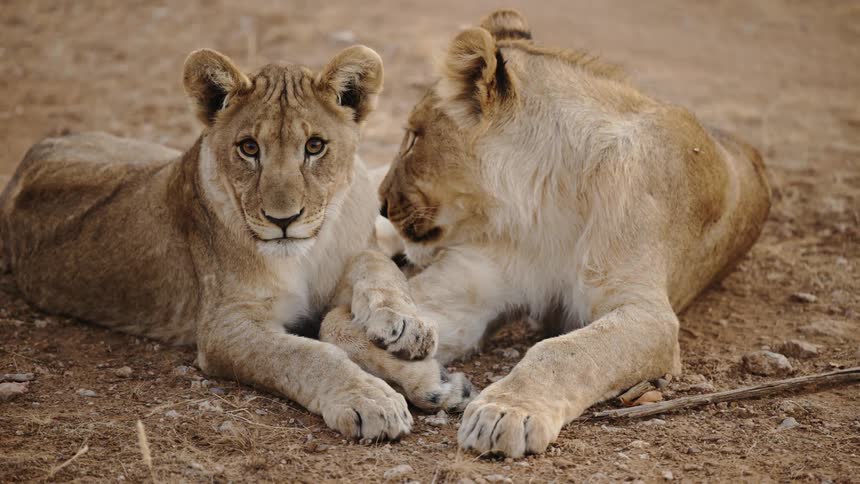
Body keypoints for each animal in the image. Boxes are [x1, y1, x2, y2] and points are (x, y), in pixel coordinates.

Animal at [0, 46, 473, 440]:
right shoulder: (224, 327)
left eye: (315, 146)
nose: (284, 220)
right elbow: (306, 354)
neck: (306, 253)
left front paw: (409, 332)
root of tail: (40, 147)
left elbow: (376, 274)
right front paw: (371, 400)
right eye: (248, 148)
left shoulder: (356, 253)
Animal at [377, 10, 771, 457]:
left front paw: (505, 412)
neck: (543, 203)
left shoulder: (649, 314)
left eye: (413, 137)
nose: (382, 204)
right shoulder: (473, 286)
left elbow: (565, 351)